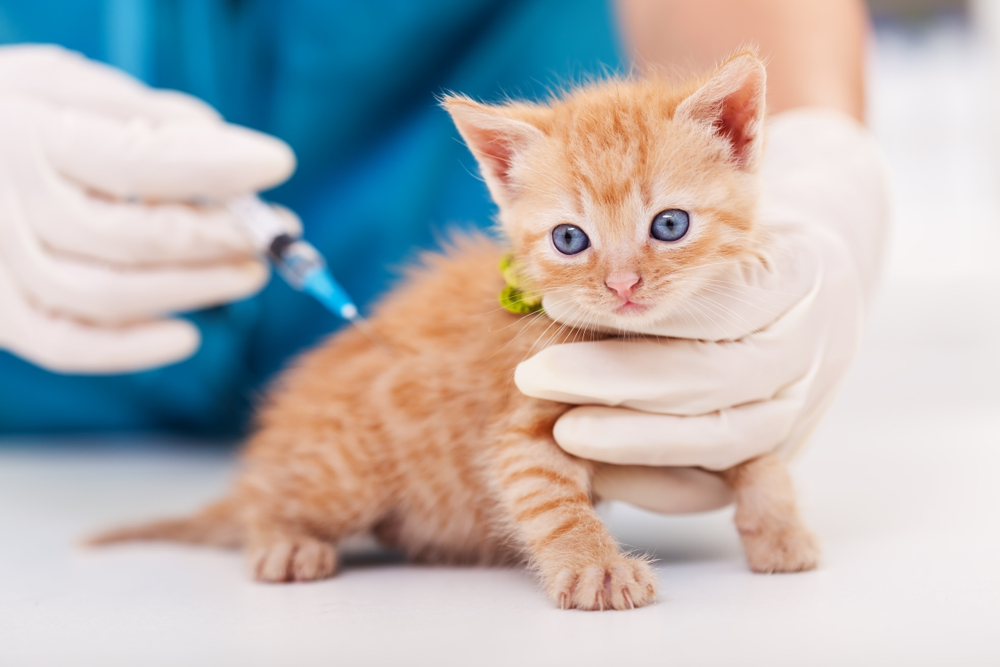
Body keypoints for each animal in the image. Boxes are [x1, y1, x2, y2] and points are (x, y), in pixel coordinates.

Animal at [90, 52, 816, 612]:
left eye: (669, 225)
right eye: (570, 239)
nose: (623, 286)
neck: (642, 345)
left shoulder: (718, 394)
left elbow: (760, 453)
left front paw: (780, 528)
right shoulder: (519, 431)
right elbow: (553, 500)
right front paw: (595, 565)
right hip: (344, 472)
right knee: (263, 505)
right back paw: (282, 539)